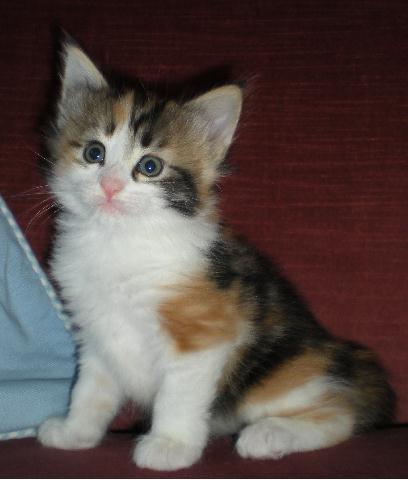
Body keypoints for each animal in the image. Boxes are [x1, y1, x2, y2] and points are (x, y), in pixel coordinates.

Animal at [37, 39, 395, 471]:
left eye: (150, 166)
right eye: (94, 153)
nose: (109, 186)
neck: (117, 240)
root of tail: (339, 353)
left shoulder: (204, 333)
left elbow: (178, 396)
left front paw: (170, 445)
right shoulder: (97, 334)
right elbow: (90, 391)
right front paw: (75, 433)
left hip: (276, 375)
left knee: (341, 411)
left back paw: (268, 435)